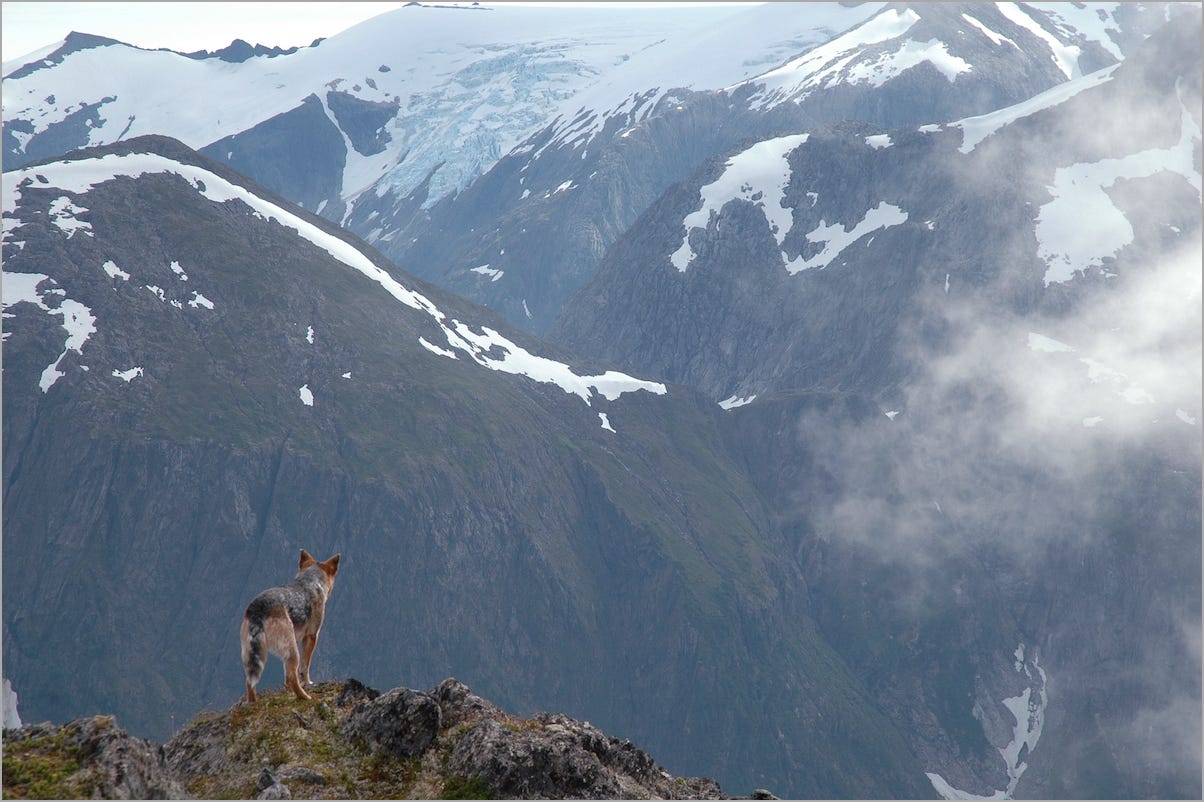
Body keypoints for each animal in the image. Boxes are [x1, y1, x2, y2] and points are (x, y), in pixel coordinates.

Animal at [240, 549, 341, 698]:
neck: (310, 580)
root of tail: (259, 607)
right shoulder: (311, 636)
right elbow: (305, 667)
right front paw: (308, 683)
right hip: (292, 651)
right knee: (292, 676)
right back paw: (305, 697)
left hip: (253, 654)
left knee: (249, 683)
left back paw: (253, 702)